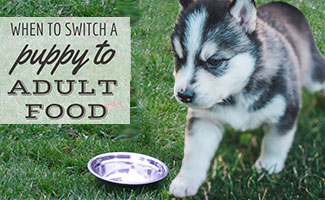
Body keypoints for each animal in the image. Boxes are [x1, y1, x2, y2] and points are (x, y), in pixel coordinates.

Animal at [168, 0, 322, 197]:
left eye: (214, 61)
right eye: (178, 58)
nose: (183, 95)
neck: (239, 90)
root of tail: (284, 4)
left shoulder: (286, 110)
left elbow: (275, 143)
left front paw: (267, 167)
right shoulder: (205, 119)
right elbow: (195, 152)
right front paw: (186, 181)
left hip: (314, 76)